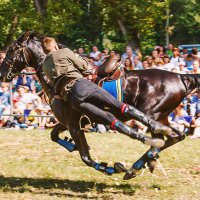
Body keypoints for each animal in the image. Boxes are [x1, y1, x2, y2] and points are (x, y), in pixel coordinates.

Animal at [1, 30, 200, 180]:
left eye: (11, 50)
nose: (3, 74)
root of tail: (180, 77)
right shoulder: (72, 122)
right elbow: (54, 135)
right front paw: (71, 145)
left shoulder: (73, 124)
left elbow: (85, 156)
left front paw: (108, 167)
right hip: (162, 116)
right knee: (174, 136)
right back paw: (139, 164)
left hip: (154, 113)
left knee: (160, 139)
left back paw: (137, 164)